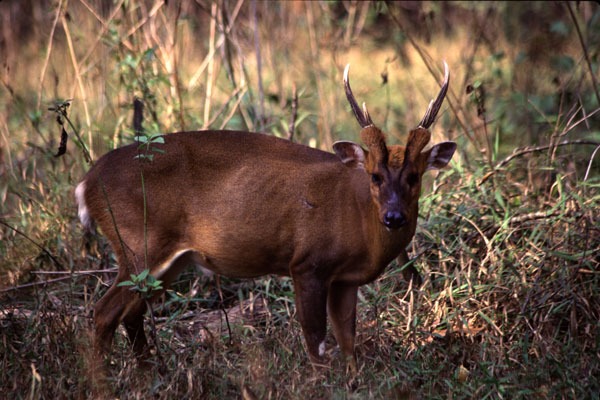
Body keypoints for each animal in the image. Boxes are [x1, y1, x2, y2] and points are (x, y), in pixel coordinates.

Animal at [77, 62, 458, 372]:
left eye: (414, 176)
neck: (358, 217)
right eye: (375, 176)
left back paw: (149, 375)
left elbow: (348, 343)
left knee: (132, 314)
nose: (394, 216)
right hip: (138, 242)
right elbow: (317, 343)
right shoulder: (307, 263)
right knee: (103, 312)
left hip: (168, 260)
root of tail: (87, 183)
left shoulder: (345, 279)